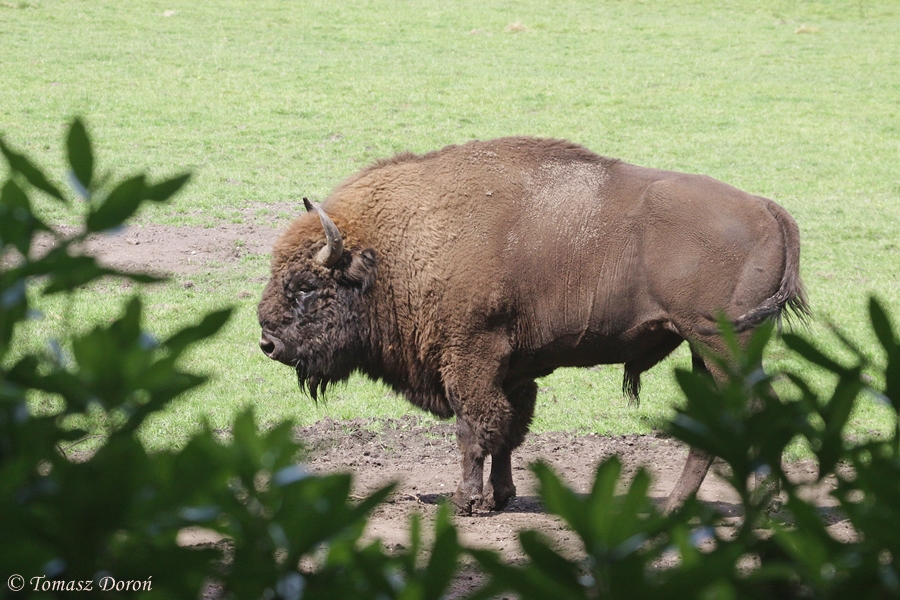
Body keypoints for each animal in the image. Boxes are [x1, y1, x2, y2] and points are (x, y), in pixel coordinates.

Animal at [258, 137, 807, 514]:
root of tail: (766, 208)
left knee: (752, 414)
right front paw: (499, 497)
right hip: (706, 349)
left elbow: (475, 429)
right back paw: (690, 506)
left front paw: (467, 502)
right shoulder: (513, 369)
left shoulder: (471, 357)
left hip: (720, 345)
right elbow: (508, 430)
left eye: (305, 286)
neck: (395, 248)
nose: (268, 342)